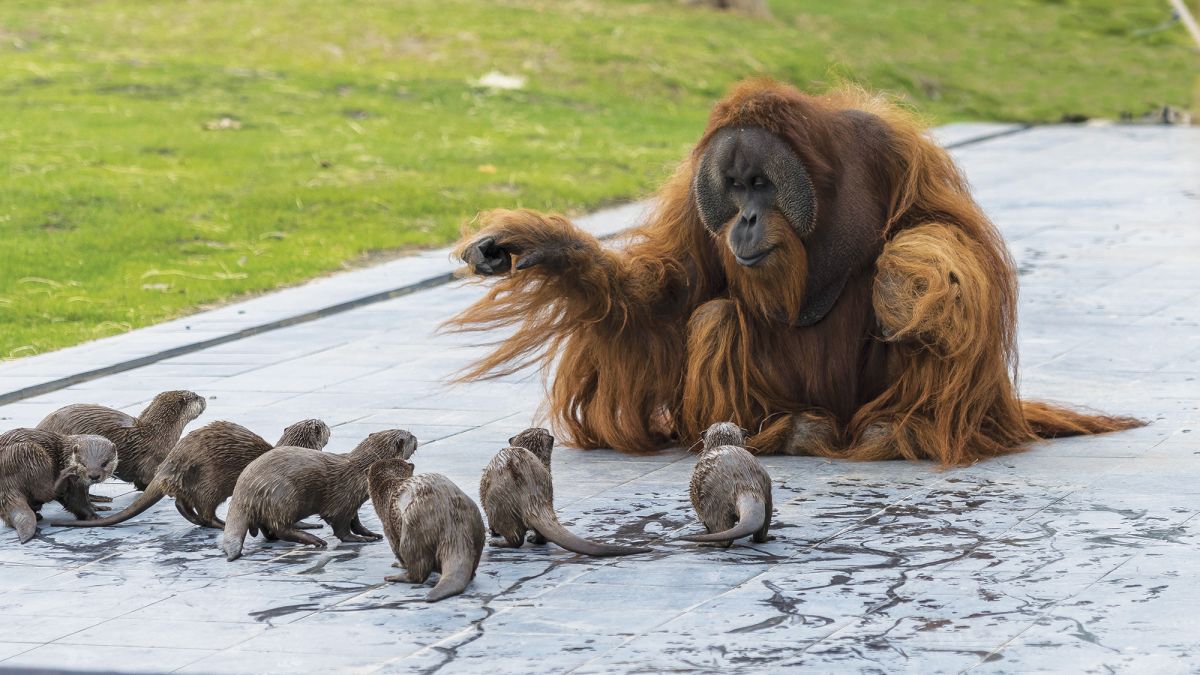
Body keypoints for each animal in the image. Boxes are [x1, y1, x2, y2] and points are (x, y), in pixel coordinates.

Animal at [52, 417, 328, 528]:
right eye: (323, 426)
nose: (327, 425)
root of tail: (171, 463)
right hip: (211, 481)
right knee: (204, 508)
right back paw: (218, 524)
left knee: (183, 503)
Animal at [223, 427, 420, 559]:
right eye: (410, 436)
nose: (416, 437)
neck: (361, 473)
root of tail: (243, 490)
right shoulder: (341, 502)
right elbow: (341, 528)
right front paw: (358, 538)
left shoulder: (352, 502)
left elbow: (356, 521)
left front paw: (370, 533)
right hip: (284, 495)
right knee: (281, 528)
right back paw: (315, 539)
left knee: (267, 527)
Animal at [477, 427, 652, 554]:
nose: (546, 429)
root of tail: (531, 498)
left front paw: (492, 532)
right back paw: (533, 538)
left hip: (497, 504)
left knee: (515, 538)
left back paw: (497, 542)